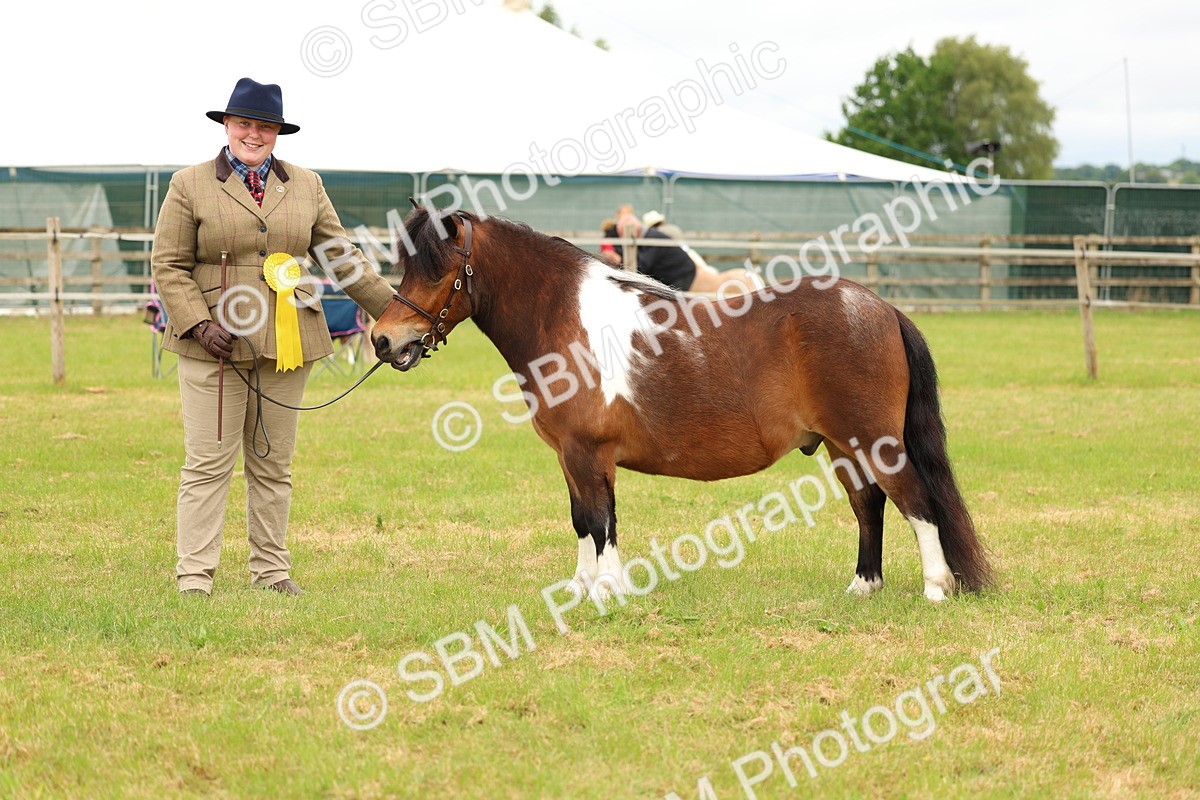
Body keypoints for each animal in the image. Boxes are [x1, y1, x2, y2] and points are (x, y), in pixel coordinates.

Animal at [371, 208, 992, 603]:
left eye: (437, 268)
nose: (382, 340)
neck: (565, 318)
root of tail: (881, 307)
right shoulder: (571, 457)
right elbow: (582, 521)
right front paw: (580, 589)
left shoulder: (588, 452)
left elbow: (599, 521)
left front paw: (607, 592)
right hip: (843, 446)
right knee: (869, 505)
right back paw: (864, 586)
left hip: (874, 441)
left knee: (914, 500)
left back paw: (936, 588)